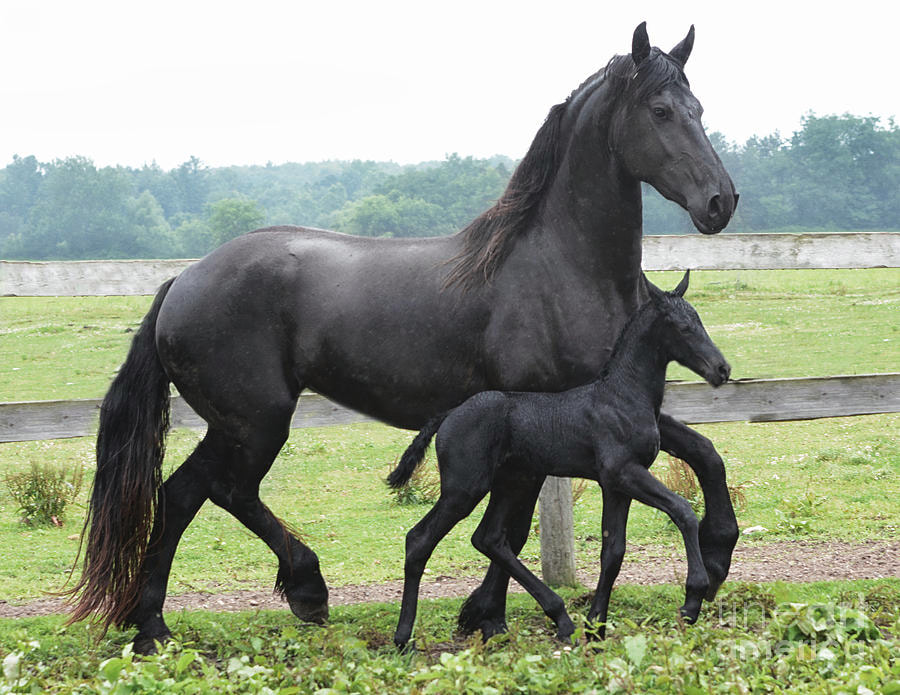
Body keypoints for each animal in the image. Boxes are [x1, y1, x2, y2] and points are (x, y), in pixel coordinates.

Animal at [387, 271, 730, 649]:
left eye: (699, 321)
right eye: (683, 327)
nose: (722, 369)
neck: (621, 397)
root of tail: (448, 414)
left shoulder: (616, 485)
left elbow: (613, 552)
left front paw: (596, 627)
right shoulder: (624, 473)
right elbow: (683, 511)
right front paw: (692, 599)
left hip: (512, 482)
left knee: (489, 538)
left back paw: (560, 618)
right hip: (464, 489)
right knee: (419, 540)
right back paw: (403, 638)